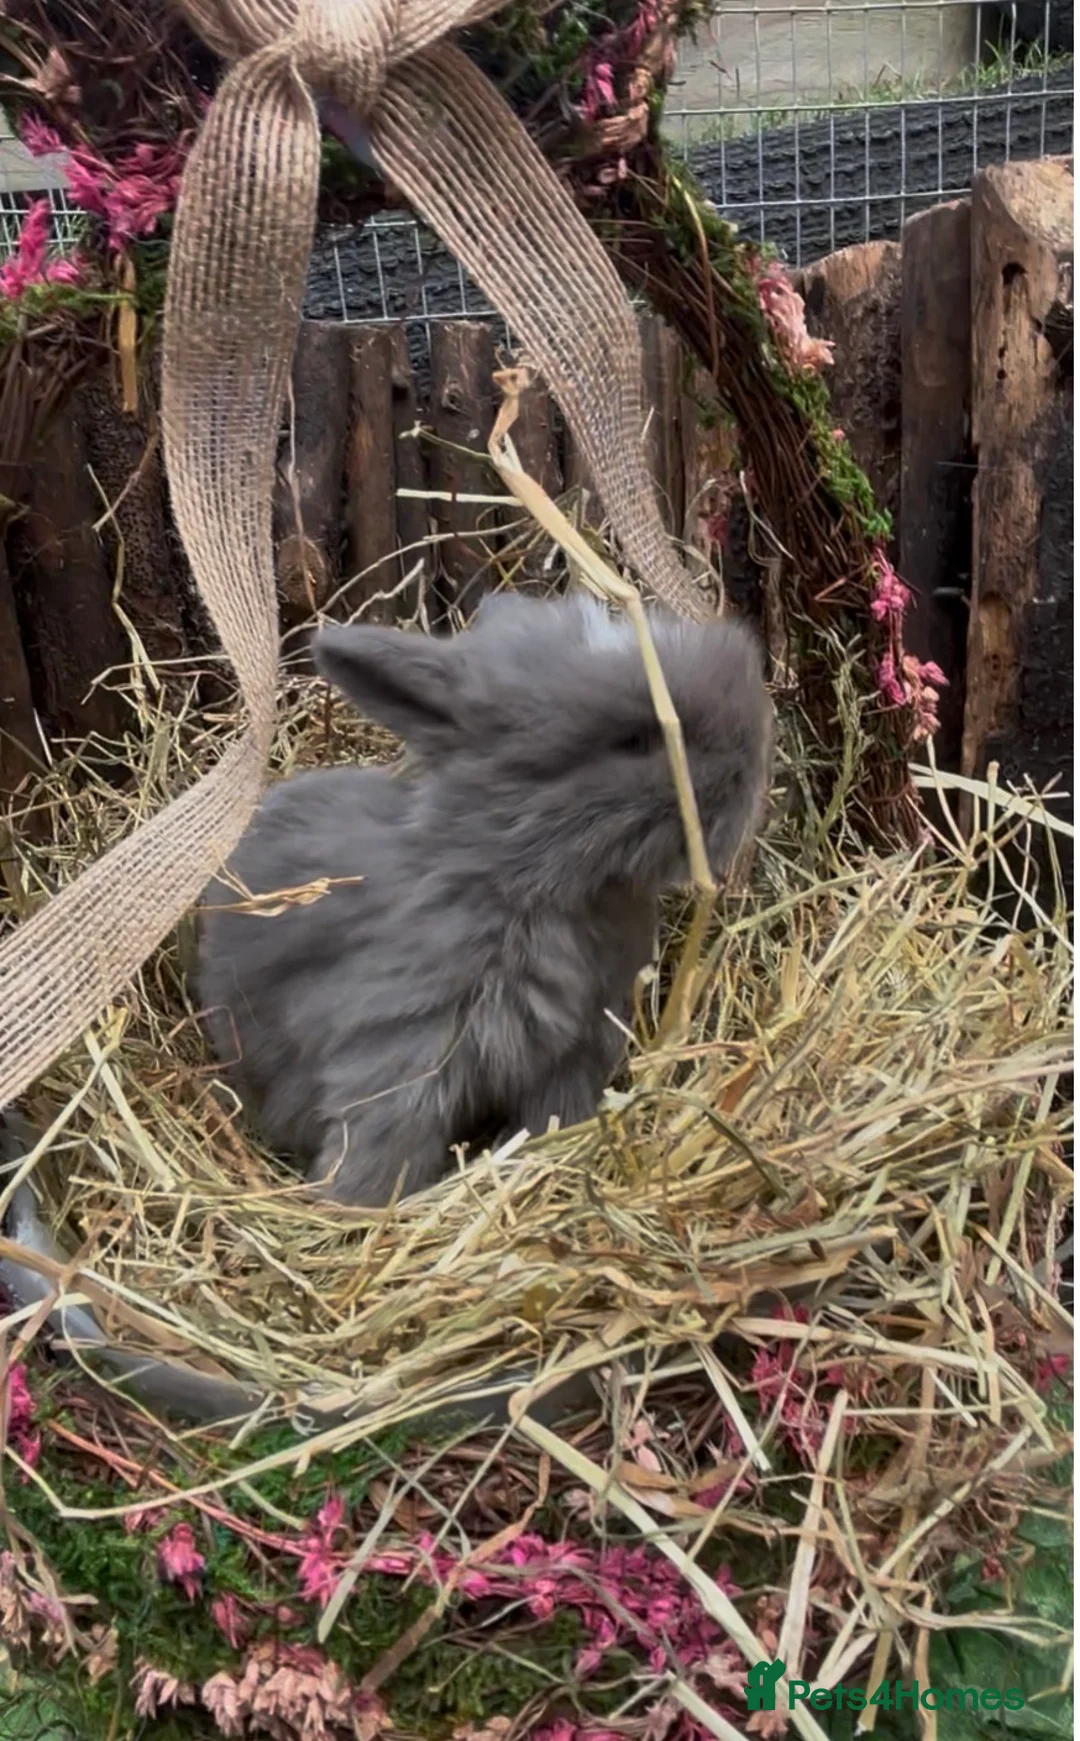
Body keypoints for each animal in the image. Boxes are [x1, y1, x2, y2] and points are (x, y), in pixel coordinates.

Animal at [197, 590, 774, 1208]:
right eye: (635, 741)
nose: (751, 752)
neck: (518, 876)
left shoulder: (575, 1050)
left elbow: (554, 1114)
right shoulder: (400, 1045)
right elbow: (383, 1139)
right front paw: (354, 1207)